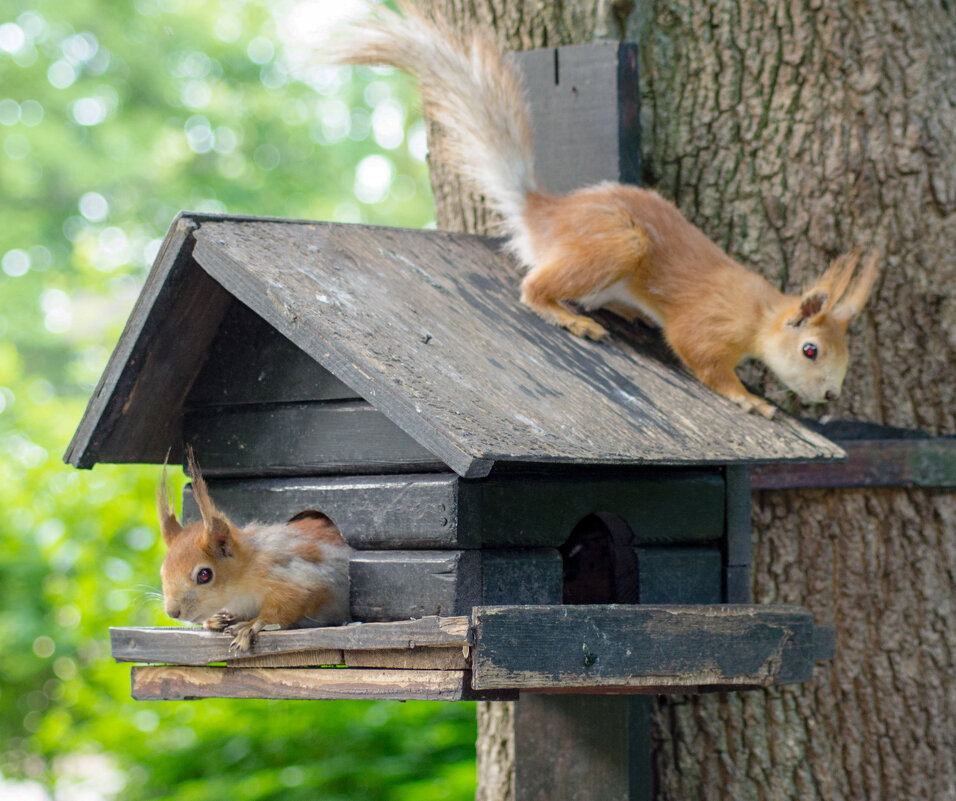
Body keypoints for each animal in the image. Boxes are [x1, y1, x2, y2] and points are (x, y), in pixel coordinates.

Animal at [157, 450, 352, 648]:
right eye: (162, 572)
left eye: (204, 575)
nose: (173, 613)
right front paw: (217, 619)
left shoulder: (292, 577)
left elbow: (287, 605)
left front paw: (251, 624)